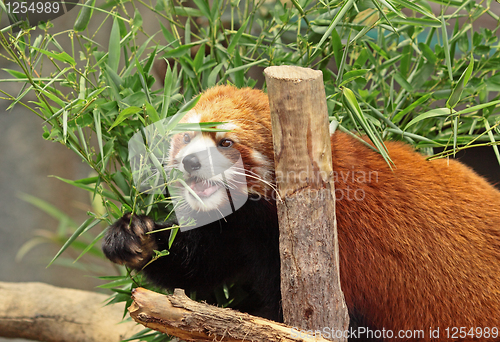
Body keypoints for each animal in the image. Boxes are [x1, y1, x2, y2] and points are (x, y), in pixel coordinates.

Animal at [101, 85, 500, 342]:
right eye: (186, 137)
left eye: (226, 143)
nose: (191, 161)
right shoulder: (241, 230)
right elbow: (202, 263)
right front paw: (134, 238)